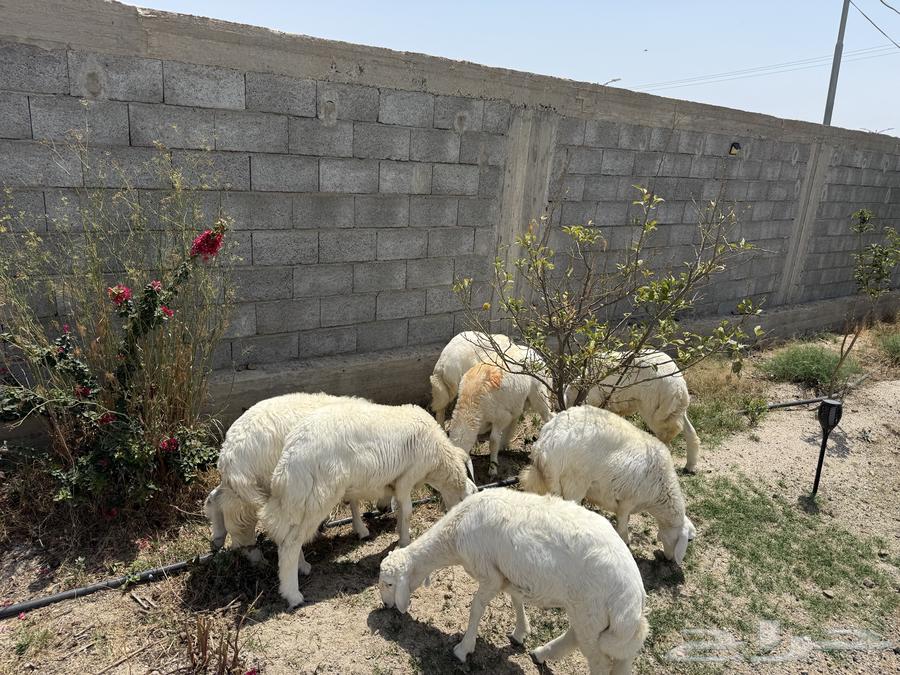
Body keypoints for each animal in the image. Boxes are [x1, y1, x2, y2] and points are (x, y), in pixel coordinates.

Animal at [203, 392, 389, 561]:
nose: (384, 510)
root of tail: (229, 452)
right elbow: (354, 501)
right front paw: (362, 529)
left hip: (239, 488)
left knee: (215, 498)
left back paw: (217, 539)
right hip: (259, 487)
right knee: (241, 523)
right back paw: (255, 556)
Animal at [260, 399, 479, 608]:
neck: (437, 460)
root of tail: (289, 456)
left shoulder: (396, 481)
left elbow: (400, 509)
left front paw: (399, 531)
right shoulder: (407, 477)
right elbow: (407, 510)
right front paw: (405, 540)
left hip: (301, 500)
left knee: (289, 535)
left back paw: (302, 566)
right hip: (317, 497)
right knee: (290, 542)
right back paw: (292, 594)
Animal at [379, 488, 649, 674]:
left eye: (389, 584)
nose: (385, 606)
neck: (454, 534)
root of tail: (634, 597)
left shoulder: (488, 573)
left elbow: (476, 609)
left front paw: (464, 649)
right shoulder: (507, 573)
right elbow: (515, 598)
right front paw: (520, 632)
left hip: (592, 614)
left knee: (600, 662)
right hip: (593, 618)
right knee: (583, 641)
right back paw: (541, 654)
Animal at [520, 405, 696, 565]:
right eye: (688, 540)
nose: (670, 561)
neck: (660, 492)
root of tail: (544, 445)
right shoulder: (628, 500)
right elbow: (623, 523)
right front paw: (625, 541)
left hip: (543, 480)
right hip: (574, 484)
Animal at [566, 350, 701, 472]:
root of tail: (677, 386)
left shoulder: (597, 394)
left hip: (653, 395)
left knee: (662, 426)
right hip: (677, 402)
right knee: (684, 425)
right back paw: (690, 466)